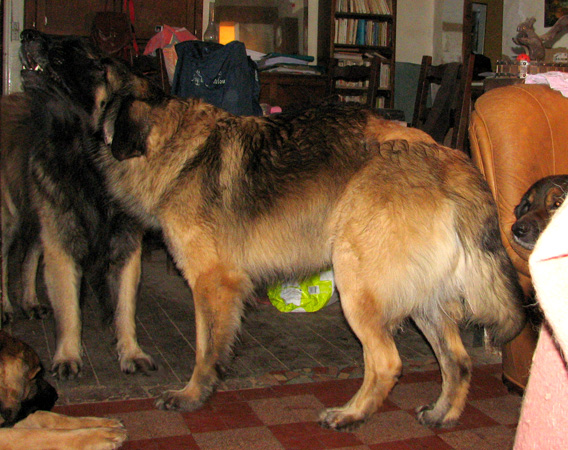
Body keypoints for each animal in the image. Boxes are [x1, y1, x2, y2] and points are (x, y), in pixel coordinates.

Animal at [23, 29, 528, 430]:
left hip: (357, 284)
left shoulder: (212, 282)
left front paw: (192, 395)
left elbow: (204, 349)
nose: (27, 34)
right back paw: (442, 414)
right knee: (457, 361)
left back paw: (351, 415)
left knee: (387, 362)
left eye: (79, 54)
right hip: (421, 298)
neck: (168, 142)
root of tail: (446, 157)